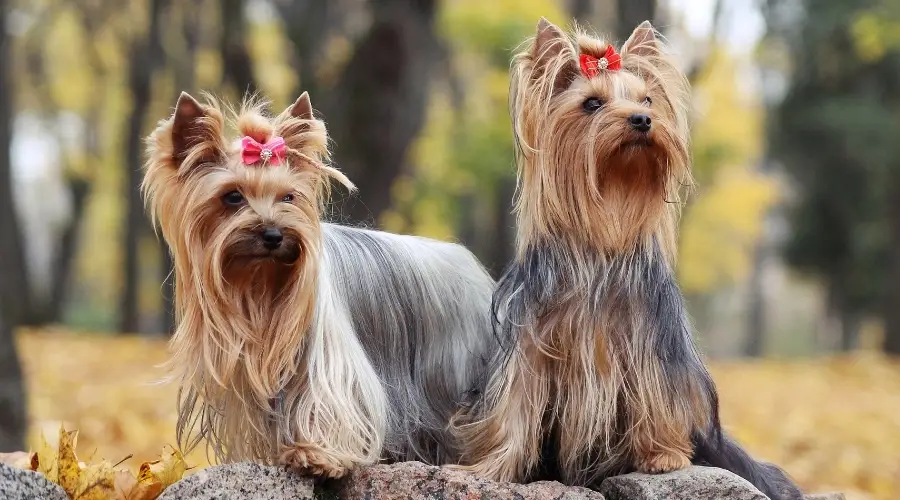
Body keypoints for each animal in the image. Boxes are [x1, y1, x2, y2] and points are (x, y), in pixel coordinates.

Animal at [142, 90, 492, 476]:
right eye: (232, 196)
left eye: (289, 197)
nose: (274, 234)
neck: (258, 285)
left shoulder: (329, 361)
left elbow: (325, 400)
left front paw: (314, 453)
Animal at [454, 19, 804, 500]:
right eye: (592, 103)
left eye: (647, 100)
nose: (641, 119)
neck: (603, 236)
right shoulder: (530, 345)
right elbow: (515, 403)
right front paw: (492, 465)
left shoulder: (648, 339)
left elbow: (656, 389)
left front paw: (663, 456)